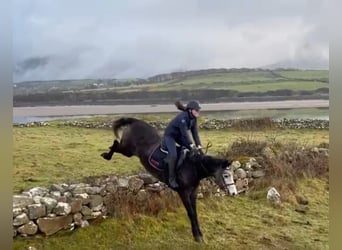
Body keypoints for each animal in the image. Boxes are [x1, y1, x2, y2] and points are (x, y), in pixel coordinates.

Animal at [100, 117, 236, 242]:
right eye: (226, 175)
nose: (234, 193)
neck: (193, 167)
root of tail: (135, 121)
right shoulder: (183, 192)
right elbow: (191, 213)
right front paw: (197, 236)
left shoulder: (193, 192)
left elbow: (195, 213)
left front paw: (199, 234)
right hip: (127, 149)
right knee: (116, 144)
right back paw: (106, 156)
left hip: (128, 151)